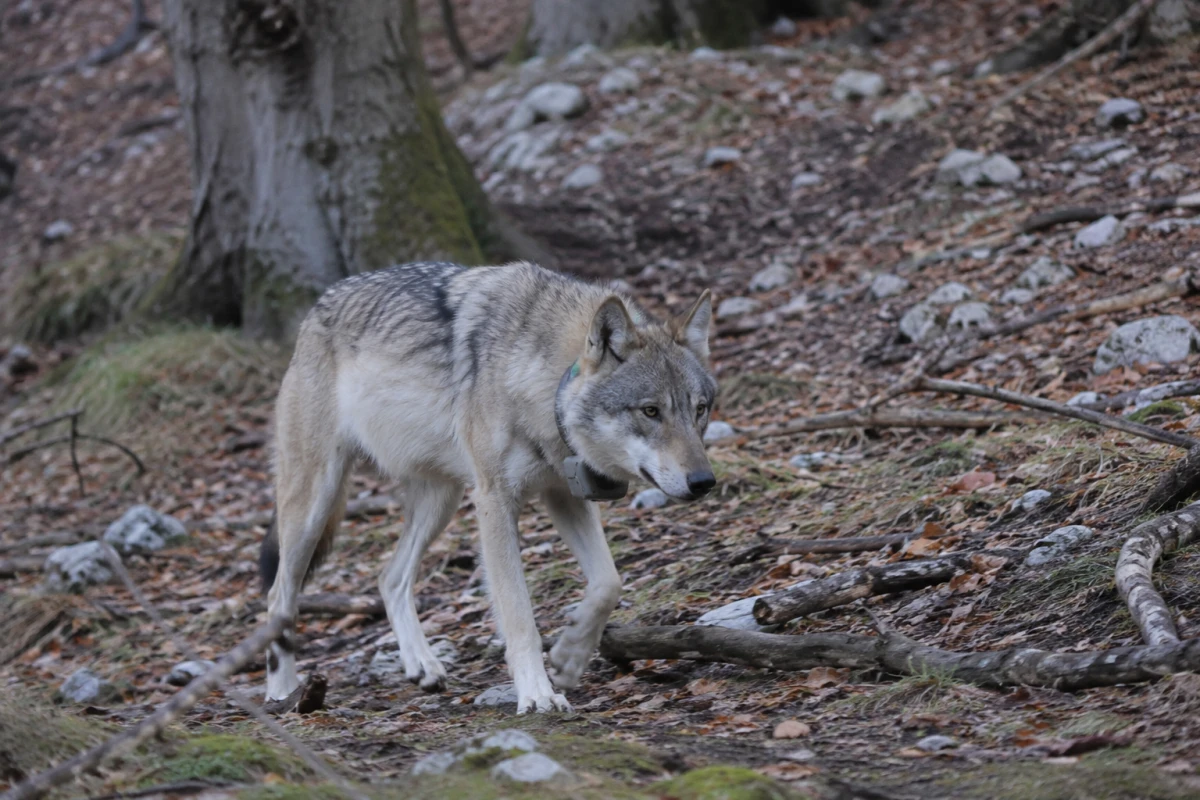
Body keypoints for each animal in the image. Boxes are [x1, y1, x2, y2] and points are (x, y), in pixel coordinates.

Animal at [259, 261, 717, 713]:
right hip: (315, 505)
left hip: (442, 502)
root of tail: (317, 308)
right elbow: (518, 614)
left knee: (389, 578)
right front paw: (537, 693)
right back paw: (282, 691)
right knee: (279, 595)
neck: (544, 383)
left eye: (700, 410)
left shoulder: (561, 494)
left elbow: (609, 583)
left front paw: (570, 657)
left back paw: (422, 666)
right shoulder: (496, 501)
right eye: (651, 411)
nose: (704, 481)